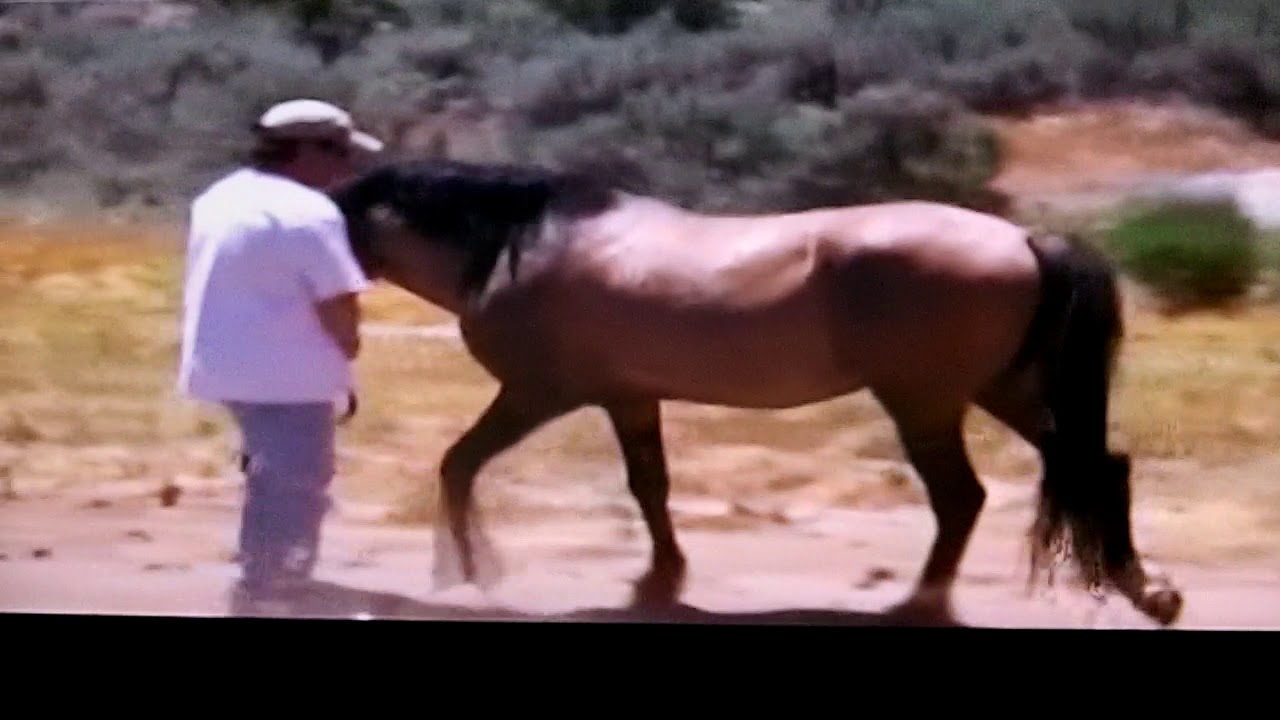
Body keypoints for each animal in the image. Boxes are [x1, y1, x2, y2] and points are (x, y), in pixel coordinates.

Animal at [328, 158, 1184, 627]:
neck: (523, 243)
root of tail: (1027, 239)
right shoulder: (628, 398)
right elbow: (650, 488)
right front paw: (659, 582)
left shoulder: (538, 393)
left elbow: (459, 463)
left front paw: (468, 570)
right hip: (1002, 391)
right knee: (1095, 468)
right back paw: (1148, 592)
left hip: (927, 402)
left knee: (963, 497)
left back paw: (922, 604)